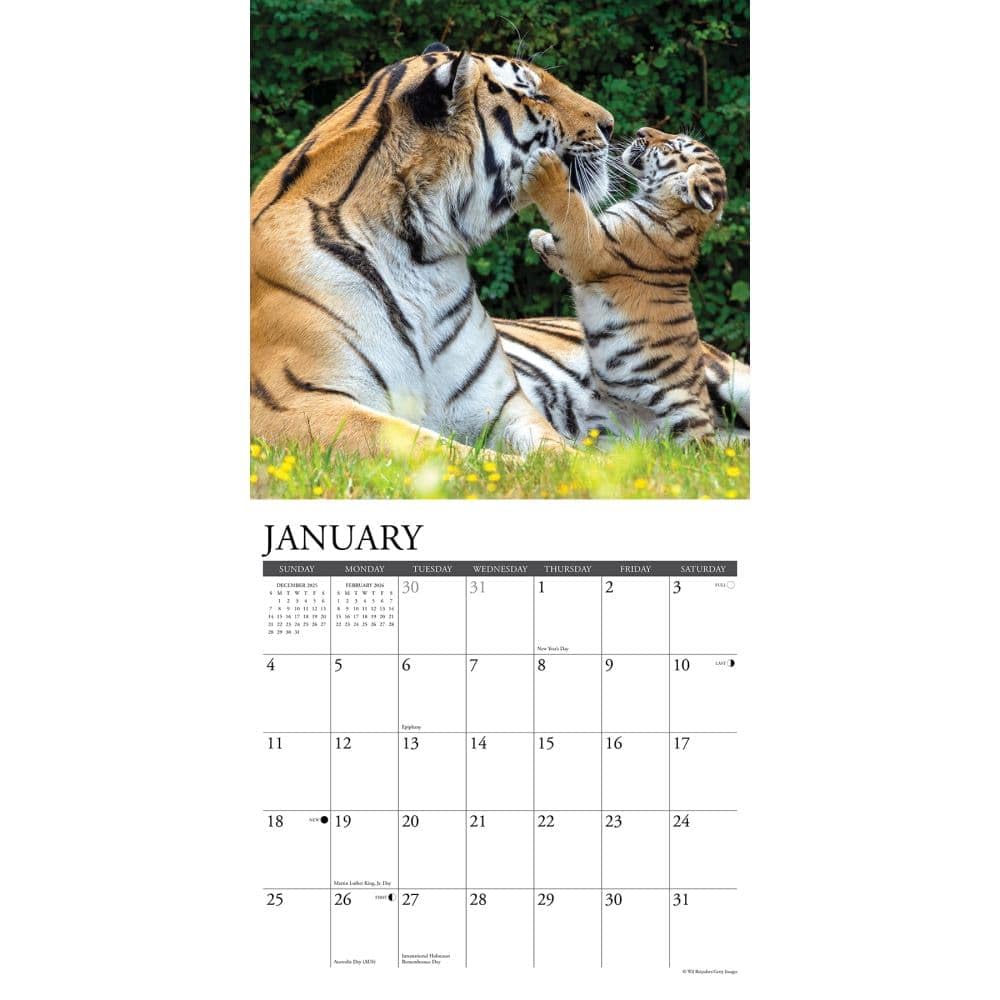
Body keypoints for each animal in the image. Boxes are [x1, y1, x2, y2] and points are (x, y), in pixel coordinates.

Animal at [251, 44, 617, 456]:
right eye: (533, 93)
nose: (610, 124)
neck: (422, 255)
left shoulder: (500, 405)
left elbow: (559, 455)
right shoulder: (290, 402)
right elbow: (443, 451)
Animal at [495, 128, 749, 443]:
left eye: (672, 145)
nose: (642, 131)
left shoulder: (593, 247)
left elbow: (571, 210)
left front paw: (547, 168)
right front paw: (539, 238)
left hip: (684, 417)